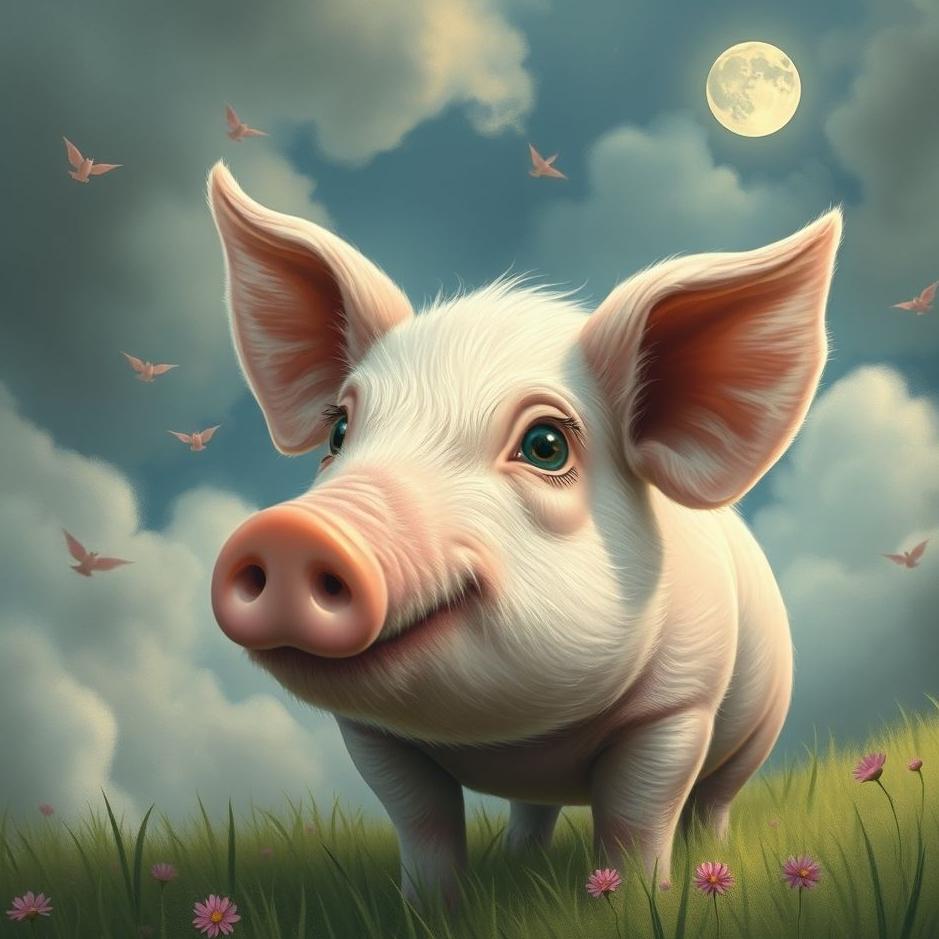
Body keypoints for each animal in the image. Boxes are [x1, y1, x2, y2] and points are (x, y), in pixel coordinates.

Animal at [206, 160, 842, 906]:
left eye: (545, 445)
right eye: (338, 430)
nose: (289, 530)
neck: (517, 738)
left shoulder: (678, 706)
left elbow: (638, 816)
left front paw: (631, 905)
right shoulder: (371, 732)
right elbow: (419, 818)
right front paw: (429, 910)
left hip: (759, 723)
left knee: (713, 799)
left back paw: (707, 855)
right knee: (531, 807)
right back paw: (517, 860)